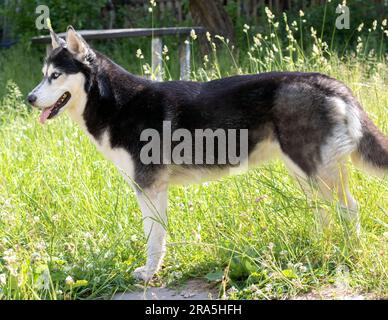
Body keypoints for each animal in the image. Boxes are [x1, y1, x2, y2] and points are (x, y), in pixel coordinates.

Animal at [28, 28, 388, 282]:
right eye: (43, 74)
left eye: (55, 75)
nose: (30, 99)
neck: (115, 103)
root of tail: (330, 82)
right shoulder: (155, 190)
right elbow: (159, 236)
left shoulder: (148, 188)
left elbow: (153, 239)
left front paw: (149, 273)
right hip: (304, 173)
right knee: (324, 212)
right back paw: (320, 248)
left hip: (313, 170)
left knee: (349, 209)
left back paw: (349, 253)